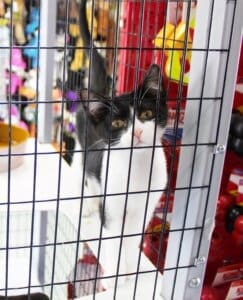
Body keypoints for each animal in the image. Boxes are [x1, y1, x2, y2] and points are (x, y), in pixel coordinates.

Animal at [75, 64, 167, 288]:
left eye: (147, 113)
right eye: (117, 123)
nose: (137, 132)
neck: (137, 166)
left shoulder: (146, 205)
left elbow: (132, 237)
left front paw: (131, 268)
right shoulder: (112, 205)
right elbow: (114, 239)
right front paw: (115, 276)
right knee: (84, 172)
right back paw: (88, 204)